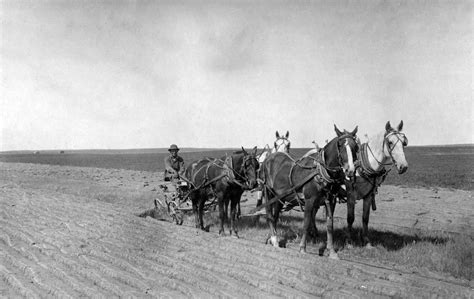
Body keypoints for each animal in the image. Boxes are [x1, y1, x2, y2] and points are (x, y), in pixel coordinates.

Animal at [260, 125, 360, 258]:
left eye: (355, 146)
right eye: (340, 145)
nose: (350, 170)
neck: (320, 172)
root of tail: (270, 157)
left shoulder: (331, 201)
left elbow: (330, 225)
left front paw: (332, 251)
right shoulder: (309, 200)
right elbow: (306, 223)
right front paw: (302, 248)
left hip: (279, 197)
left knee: (275, 216)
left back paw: (271, 238)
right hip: (268, 192)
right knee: (270, 216)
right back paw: (275, 240)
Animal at [342, 120, 410, 248]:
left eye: (404, 142)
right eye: (390, 142)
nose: (403, 166)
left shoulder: (368, 196)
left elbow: (365, 218)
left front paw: (366, 241)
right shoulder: (351, 195)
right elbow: (350, 218)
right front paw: (349, 241)